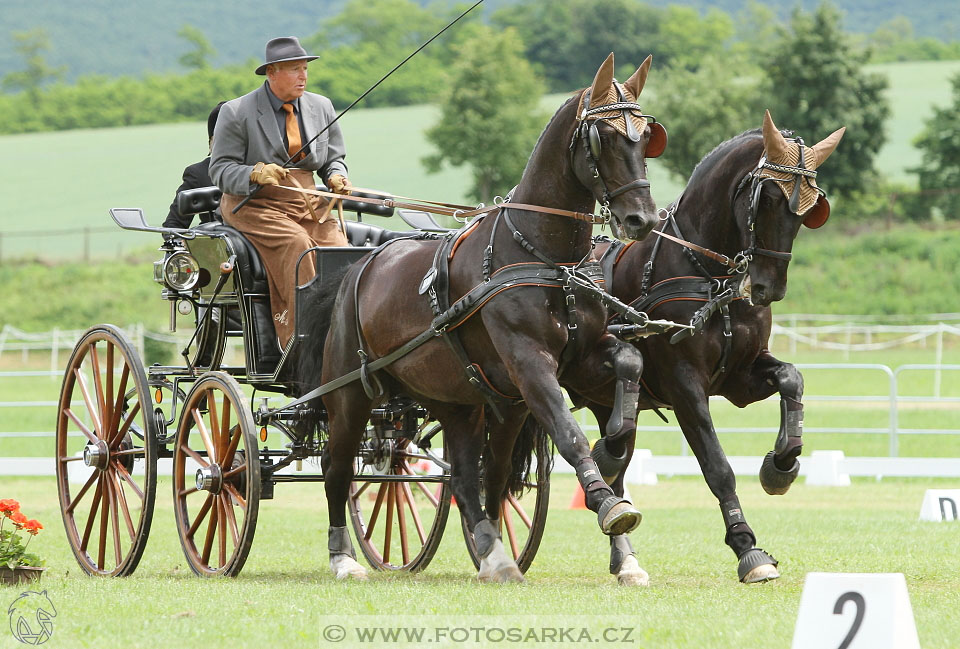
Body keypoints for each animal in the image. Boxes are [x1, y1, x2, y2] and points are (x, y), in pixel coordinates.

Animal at [300, 54, 668, 584]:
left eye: (646, 136)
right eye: (603, 137)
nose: (643, 219)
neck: (543, 254)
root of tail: (358, 266)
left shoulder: (580, 360)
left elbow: (628, 364)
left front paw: (614, 451)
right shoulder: (530, 363)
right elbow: (568, 431)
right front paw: (607, 502)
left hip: (460, 400)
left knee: (468, 476)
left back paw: (494, 554)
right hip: (350, 394)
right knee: (338, 467)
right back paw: (344, 558)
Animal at [572, 110, 844, 584]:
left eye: (812, 207)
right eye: (767, 198)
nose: (768, 288)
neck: (708, 274)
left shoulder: (739, 378)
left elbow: (791, 377)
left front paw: (782, 464)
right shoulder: (685, 387)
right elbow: (718, 467)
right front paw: (747, 548)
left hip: (608, 399)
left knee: (618, 462)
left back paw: (625, 558)